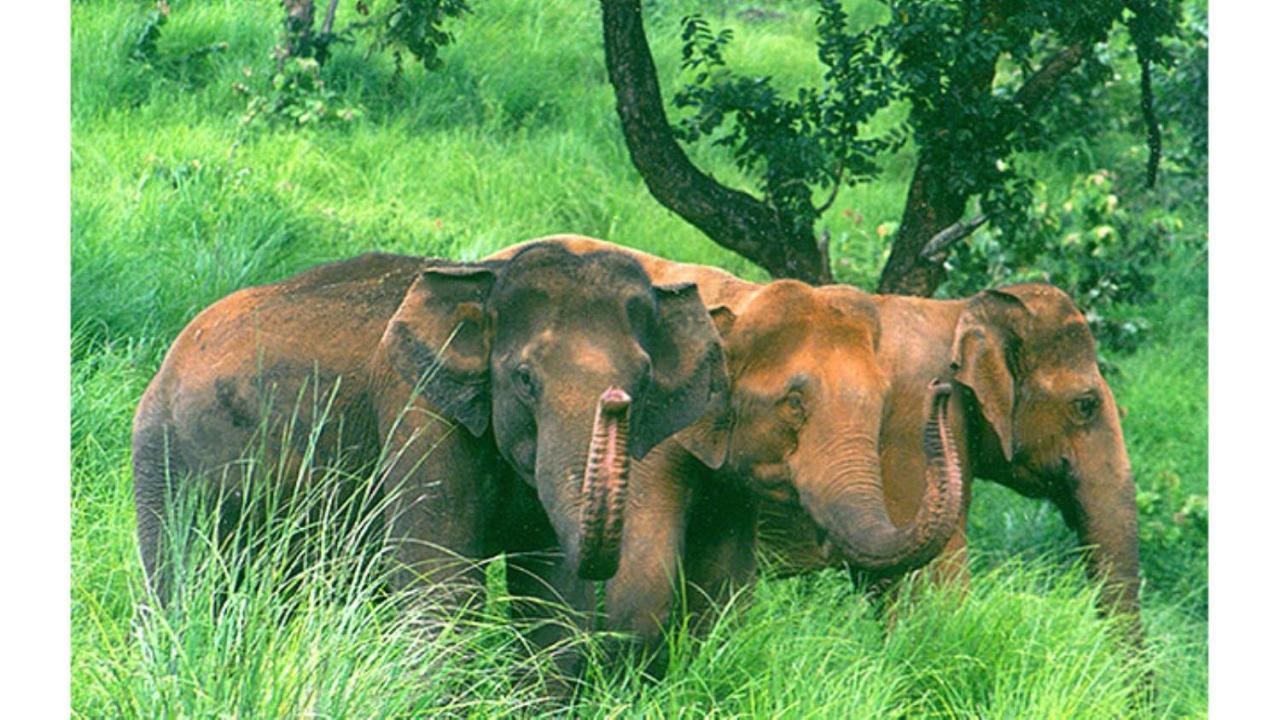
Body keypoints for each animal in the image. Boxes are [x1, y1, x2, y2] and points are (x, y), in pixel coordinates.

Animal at [131, 242, 737, 666]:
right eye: (524, 380)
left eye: (643, 381)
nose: (614, 402)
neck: (485, 281)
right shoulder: (417, 407)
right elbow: (441, 586)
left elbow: (554, 602)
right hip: (164, 455)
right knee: (185, 583)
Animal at [483, 234, 962, 661]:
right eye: (794, 402)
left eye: (882, 402)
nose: (942, 389)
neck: (742, 298)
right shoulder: (653, 445)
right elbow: (644, 577)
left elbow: (724, 587)